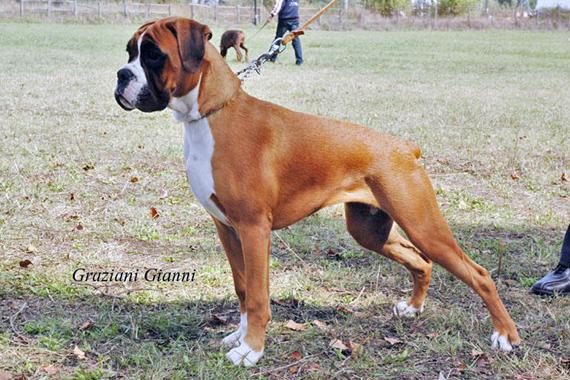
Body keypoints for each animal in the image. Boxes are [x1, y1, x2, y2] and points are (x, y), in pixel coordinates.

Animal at [114, 17, 520, 366]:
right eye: (129, 51)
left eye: (153, 54)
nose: (120, 75)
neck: (213, 114)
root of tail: (405, 147)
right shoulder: (227, 229)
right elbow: (242, 289)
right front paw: (239, 337)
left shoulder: (253, 229)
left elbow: (257, 296)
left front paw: (252, 350)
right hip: (370, 230)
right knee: (420, 261)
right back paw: (412, 308)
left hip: (423, 225)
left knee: (478, 273)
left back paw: (506, 336)